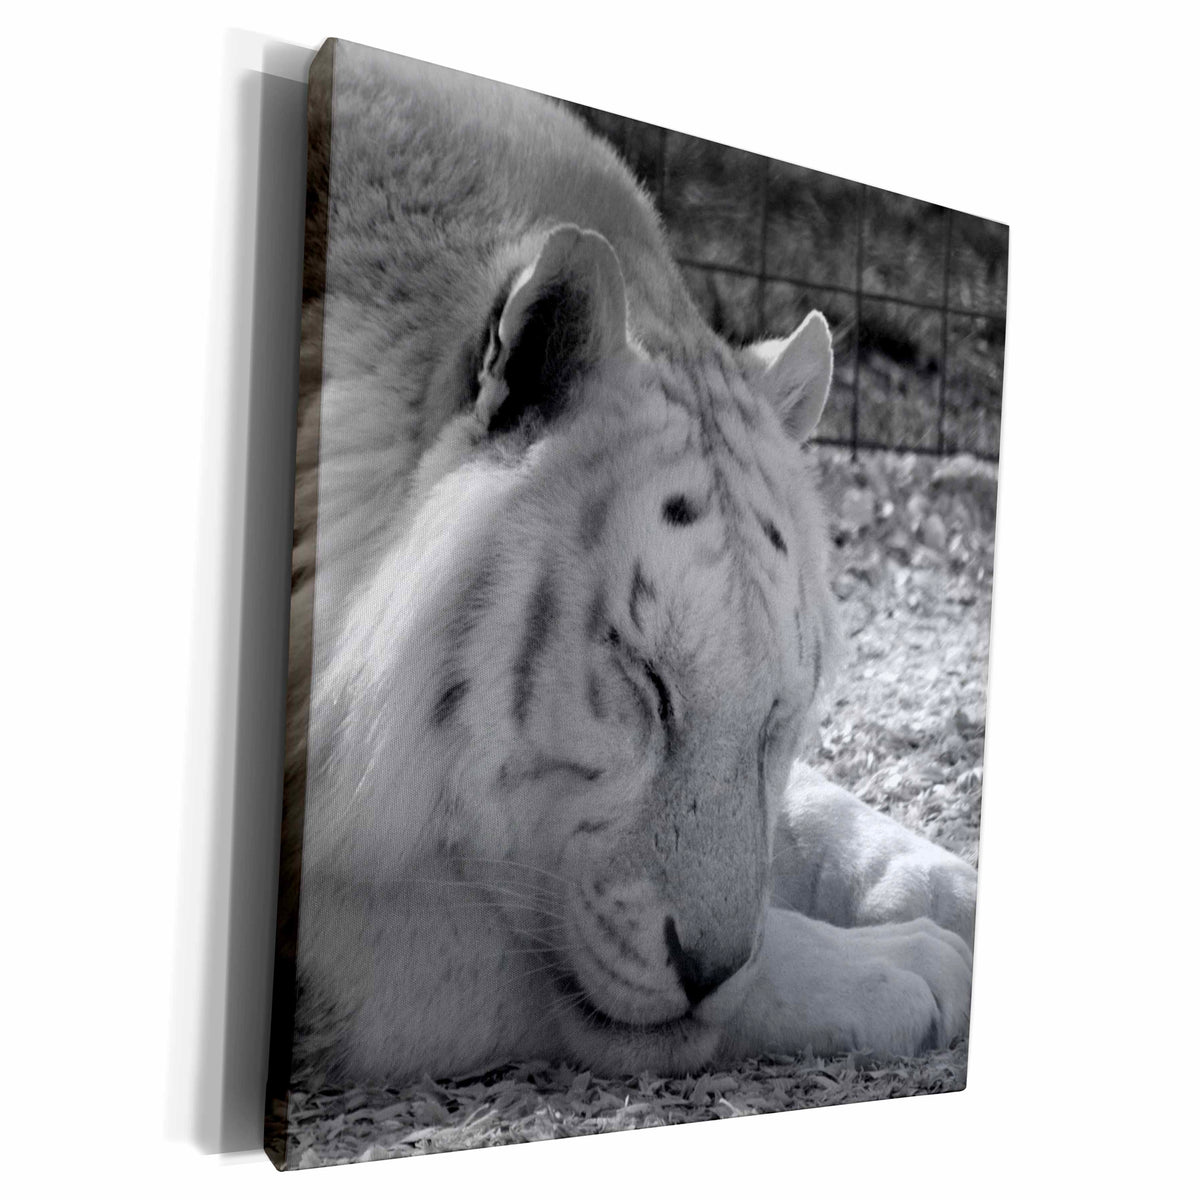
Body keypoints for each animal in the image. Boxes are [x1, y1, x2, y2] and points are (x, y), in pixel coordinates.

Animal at [282, 39, 977, 1086]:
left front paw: (947, 886)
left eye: (780, 713)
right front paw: (901, 966)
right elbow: (498, 948)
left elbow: (809, 807)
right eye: (644, 682)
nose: (708, 968)